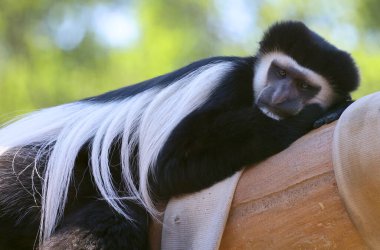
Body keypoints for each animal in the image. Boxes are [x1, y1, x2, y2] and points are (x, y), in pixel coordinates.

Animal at [0, 21, 358, 248]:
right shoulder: (223, 83)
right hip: (34, 167)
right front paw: (321, 114)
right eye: (280, 72)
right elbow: (169, 166)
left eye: (305, 86)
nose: (281, 97)